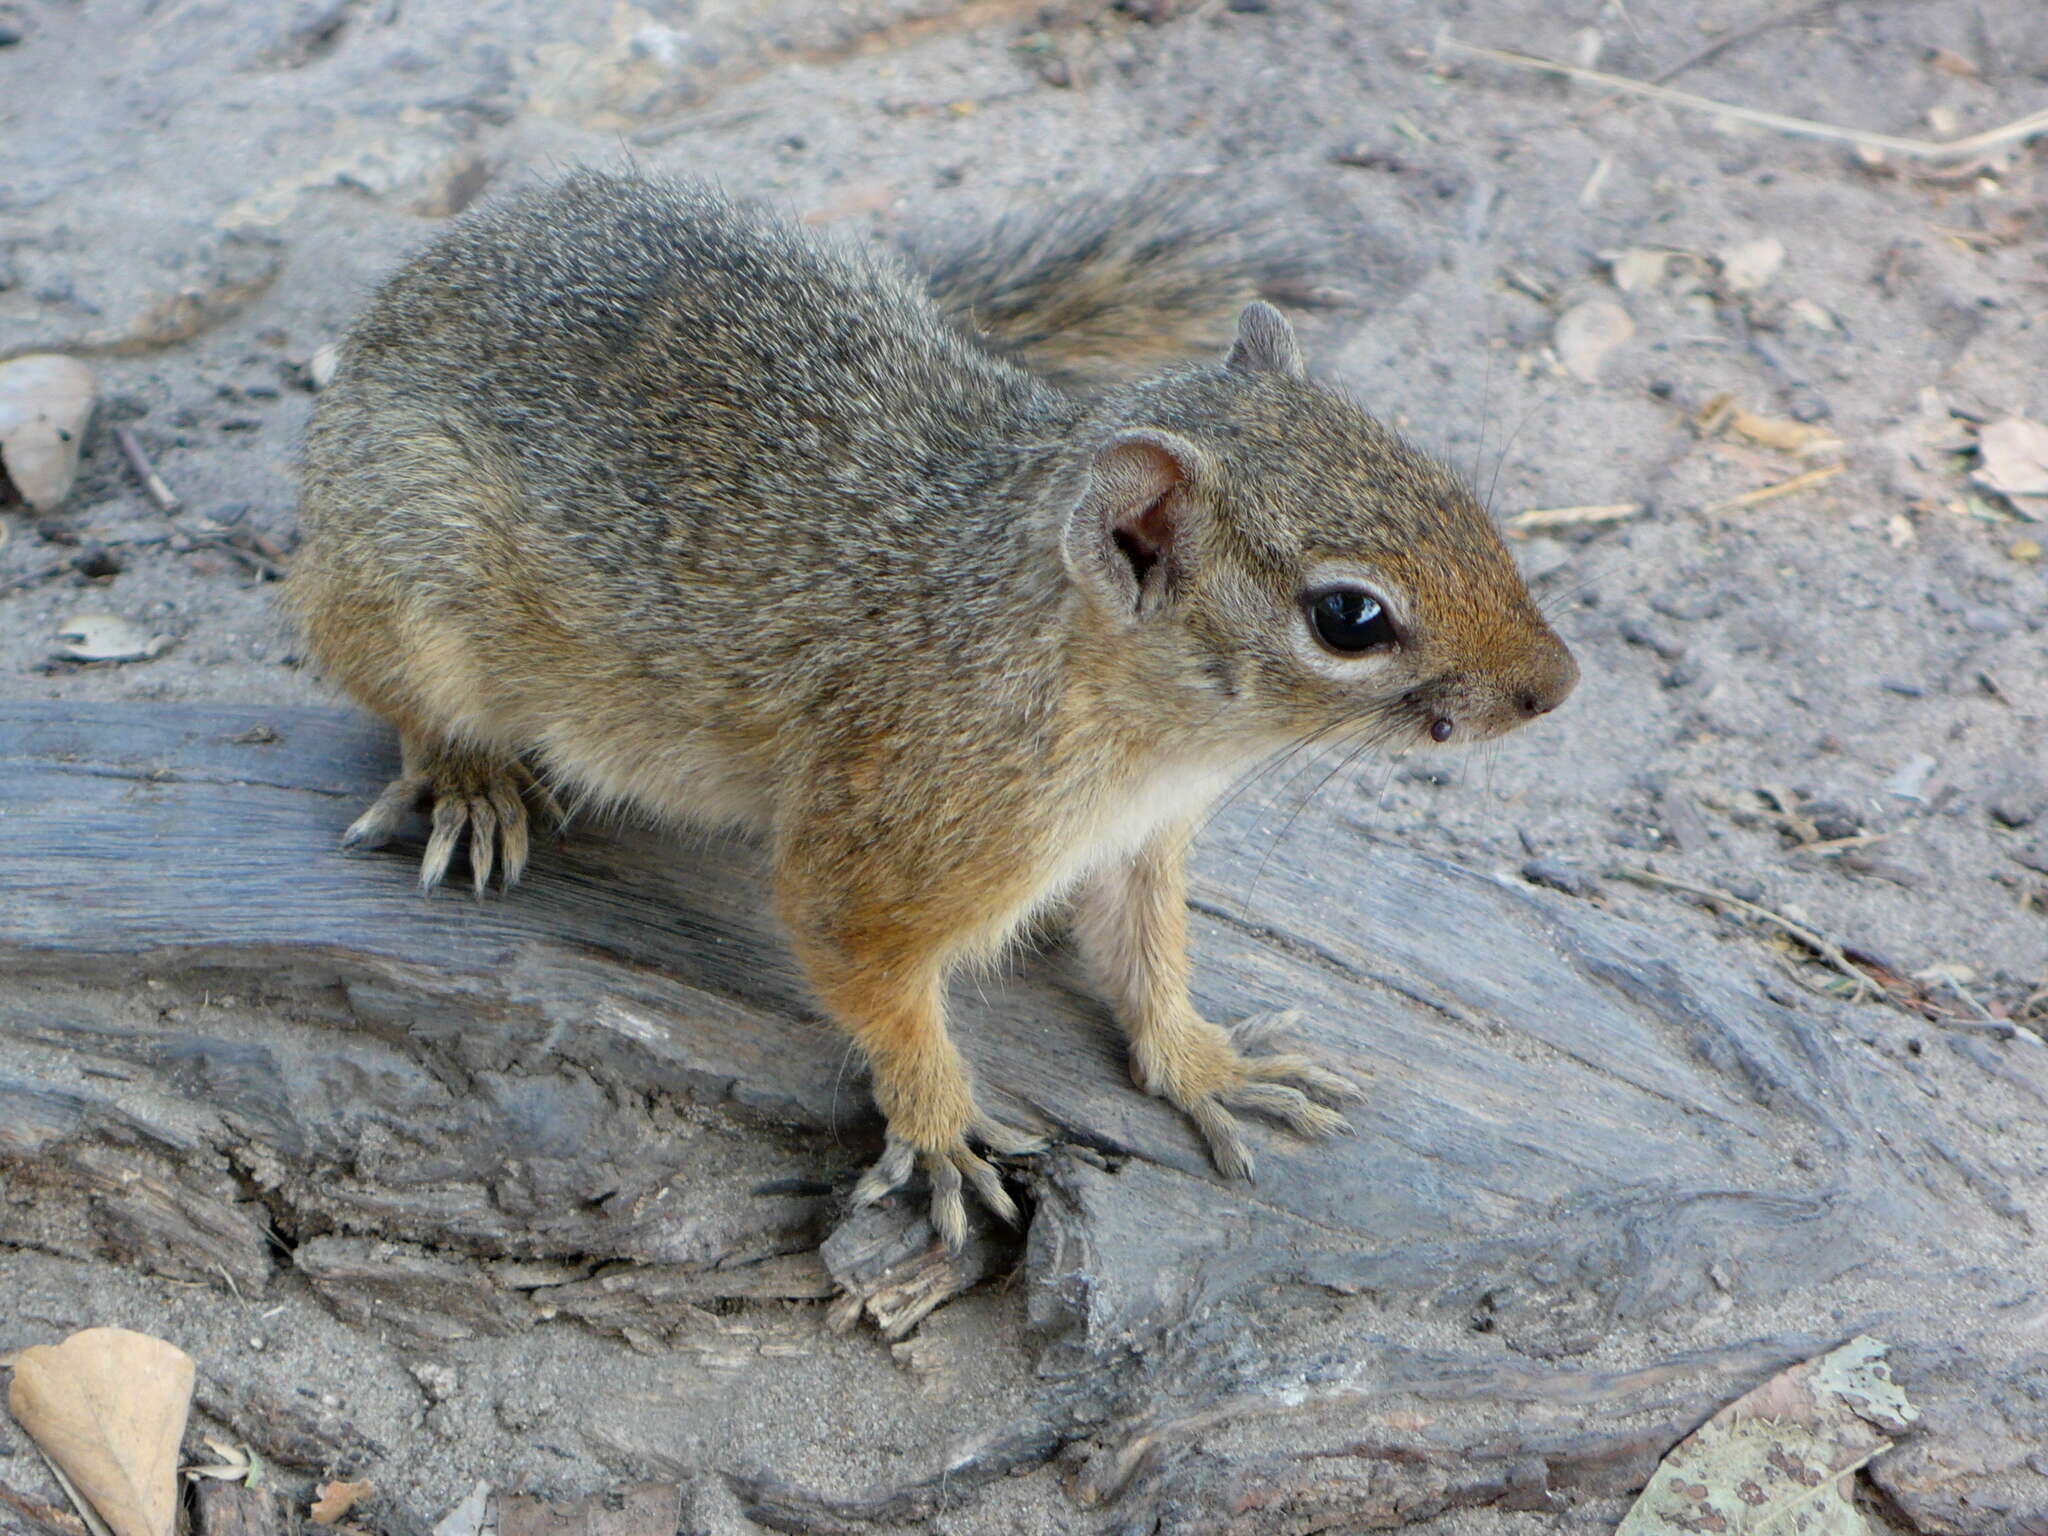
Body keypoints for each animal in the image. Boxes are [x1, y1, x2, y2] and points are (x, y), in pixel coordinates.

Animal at [288, 171, 1572, 1253]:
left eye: (1447, 484)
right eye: (1347, 617)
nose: (1553, 686)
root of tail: (400, 300)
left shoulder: (1135, 849)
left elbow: (1147, 962)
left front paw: (1204, 1063)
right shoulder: (891, 830)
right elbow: (869, 979)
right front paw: (940, 1122)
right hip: (406, 582)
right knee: (397, 694)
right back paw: (470, 781)